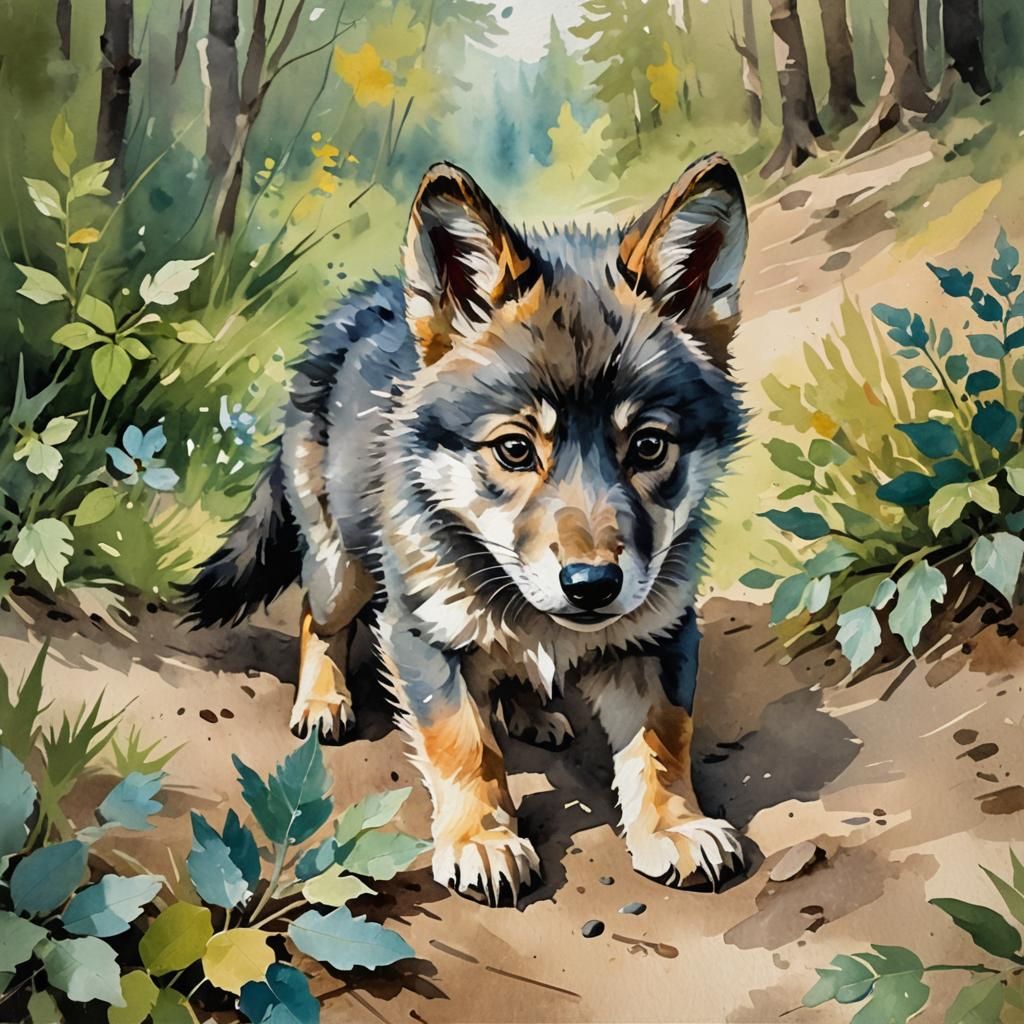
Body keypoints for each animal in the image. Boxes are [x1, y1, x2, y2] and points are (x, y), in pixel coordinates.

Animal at [185, 153, 749, 906]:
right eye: (514, 450)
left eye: (650, 447)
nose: (591, 586)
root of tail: (357, 304)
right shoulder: (421, 633)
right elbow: (464, 742)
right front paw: (482, 839)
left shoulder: (659, 637)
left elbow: (662, 740)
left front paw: (676, 826)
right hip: (341, 572)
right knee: (315, 614)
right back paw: (325, 701)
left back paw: (531, 711)